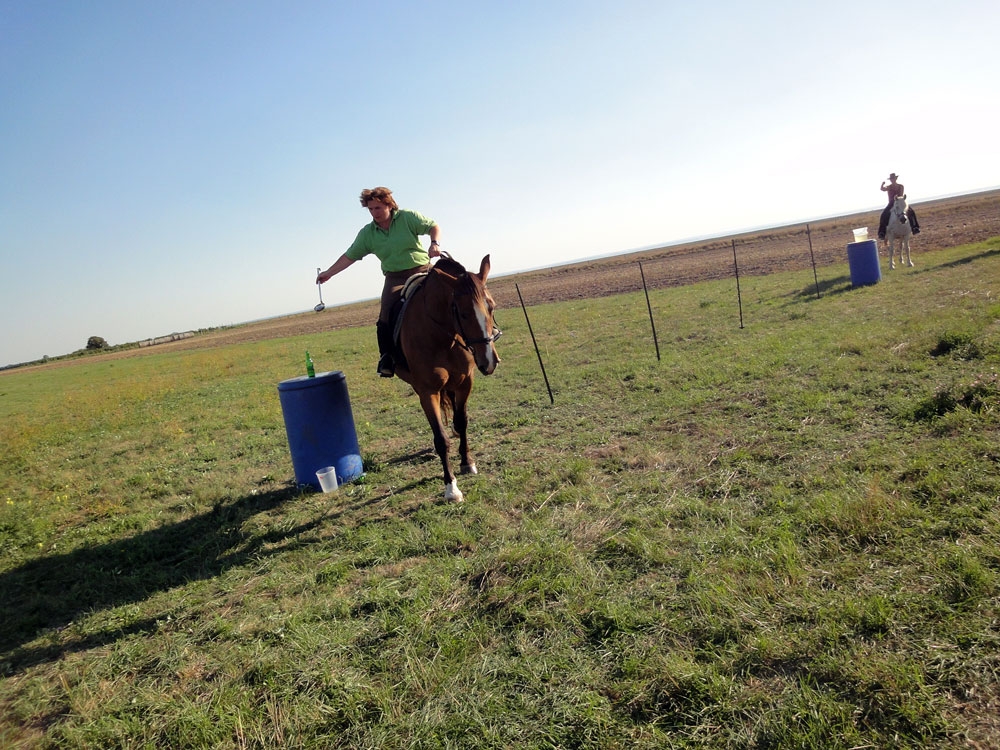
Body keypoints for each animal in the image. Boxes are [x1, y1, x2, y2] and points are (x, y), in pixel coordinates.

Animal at [392, 254, 498, 506]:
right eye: (464, 313)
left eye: (492, 307)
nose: (489, 361)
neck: (441, 334)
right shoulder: (427, 391)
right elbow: (440, 438)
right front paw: (451, 488)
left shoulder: (465, 382)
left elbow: (462, 421)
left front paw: (467, 461)